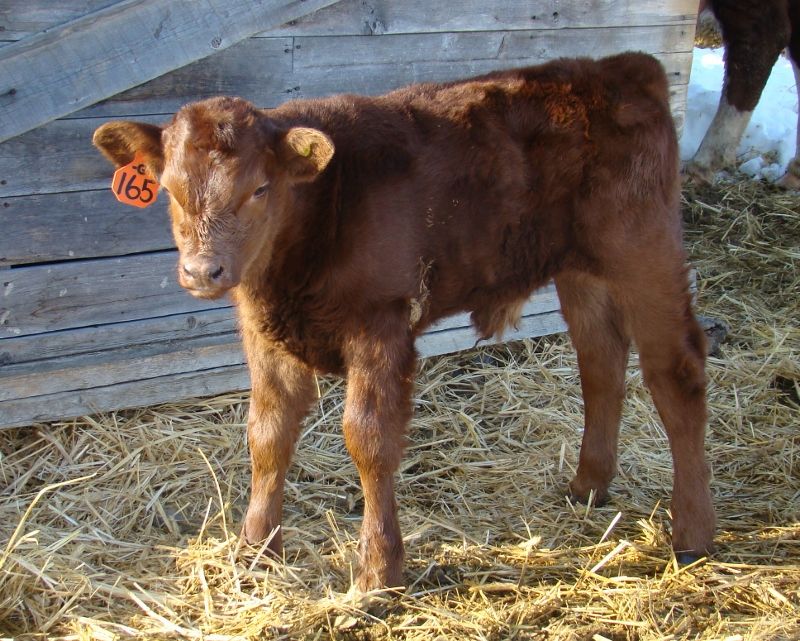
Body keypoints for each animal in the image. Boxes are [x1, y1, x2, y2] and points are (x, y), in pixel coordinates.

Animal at [93, 51, 715, 592]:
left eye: (260, 188)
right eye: (170, 190)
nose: (203, 270)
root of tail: (620, 67)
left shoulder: (381, 324)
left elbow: (369, 439)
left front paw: (377, 572)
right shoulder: (264, 335)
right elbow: (267, 434)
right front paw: (254, 548)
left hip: (644, 251)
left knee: (676, 371)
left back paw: (692, 534)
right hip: (580, 269)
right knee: (601, 362)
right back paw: (588, 486)